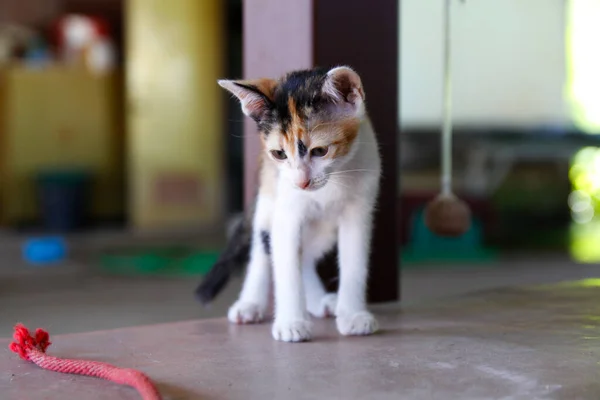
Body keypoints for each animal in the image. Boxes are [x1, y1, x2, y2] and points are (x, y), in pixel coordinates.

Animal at [195, 66, 382, 344]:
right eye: (279, 154)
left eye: (320, 151)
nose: (302, 182)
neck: (332, 183)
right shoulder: (287, 210)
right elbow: (285, 265)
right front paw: (291, 322)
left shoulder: (359, 210)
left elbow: (354, 262)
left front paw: (353, 315)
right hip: (268, 197)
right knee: (264, 248)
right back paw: (250, 303)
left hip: (323, 229)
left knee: (305, 255)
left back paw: (320, 302)